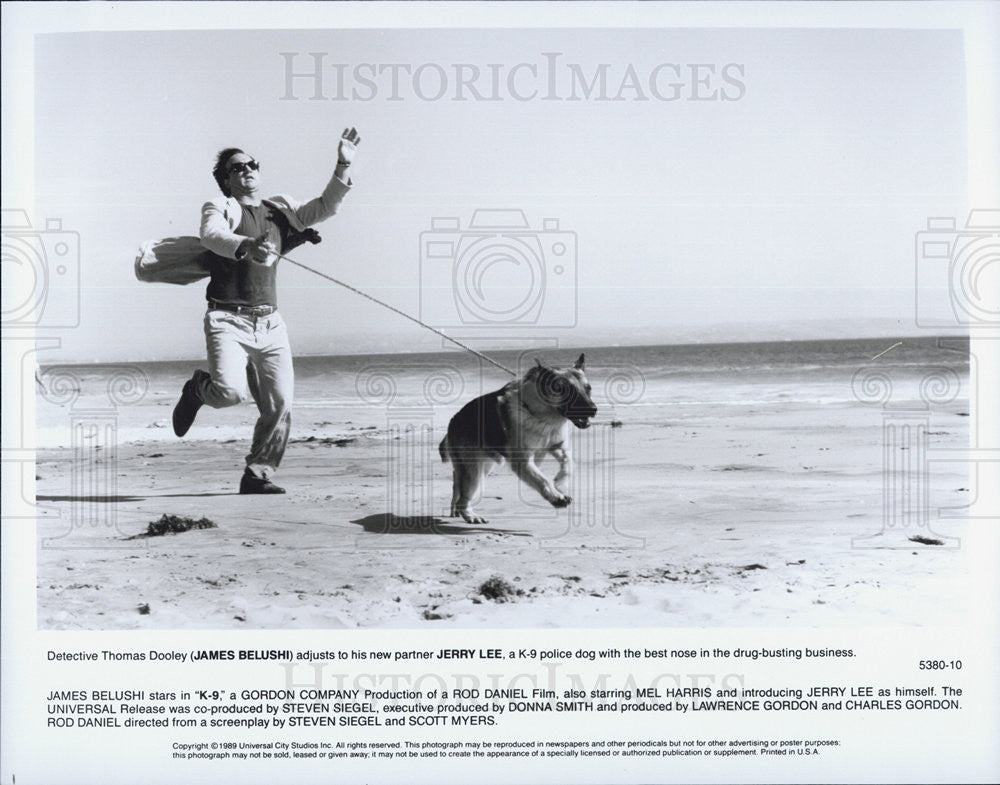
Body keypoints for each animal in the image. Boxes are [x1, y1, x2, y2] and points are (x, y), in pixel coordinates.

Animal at [440, 356, 596, 528]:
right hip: (474, 473)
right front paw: (556, 497)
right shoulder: (523, 462)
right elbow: (542, 480)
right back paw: (471, 516)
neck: (541, 413)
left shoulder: (557, 447)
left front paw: (560, 483)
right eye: (568, 391)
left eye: (588, 389)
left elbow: (569, 464)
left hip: (483, 467)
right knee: (463, 499)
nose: (594, 409)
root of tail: (453, 420)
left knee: (457, 489)